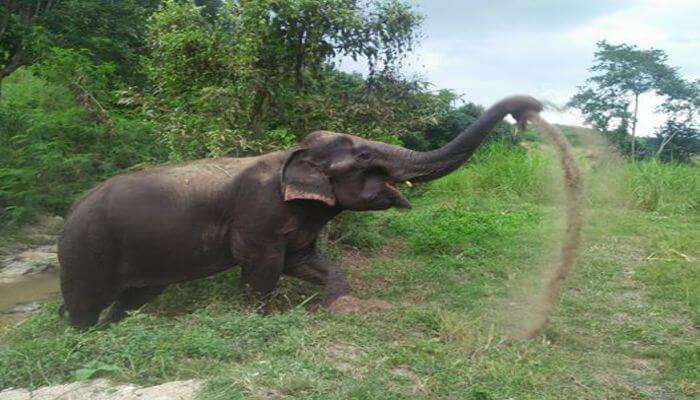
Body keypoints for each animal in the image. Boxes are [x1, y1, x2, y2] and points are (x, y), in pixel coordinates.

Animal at [58, 94, 540, 328]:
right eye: (365, 157)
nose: (528, 110)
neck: (294, 153)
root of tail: (69, 211)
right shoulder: (257, 215)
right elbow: (263, 267)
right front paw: (259, 320)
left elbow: (305, 261)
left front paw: (337, 304)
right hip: (89, 251)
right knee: (85, 303)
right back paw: (83, 336)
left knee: (134, 298)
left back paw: (112, 329)